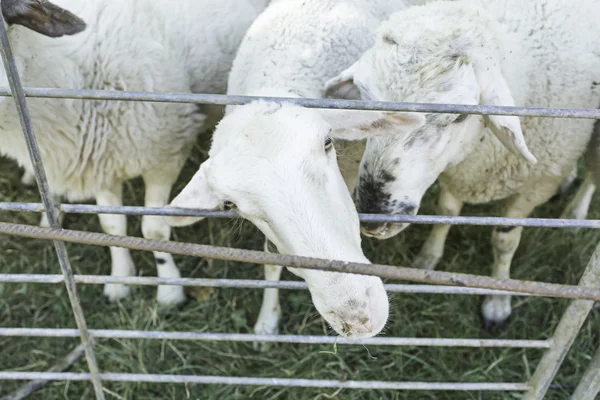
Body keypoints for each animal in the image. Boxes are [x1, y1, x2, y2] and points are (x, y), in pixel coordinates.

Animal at [0, 0, 268, 304]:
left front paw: (169, 289)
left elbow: (153, 229)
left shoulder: (166, 156)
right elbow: (112, 227)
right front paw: (120, 281)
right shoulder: (99, 163)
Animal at [164, 0, 428, 340]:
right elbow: (271, 256)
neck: (282, 68)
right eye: (230, 204)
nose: (357, 318)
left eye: (328, 142)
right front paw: (267, 321)